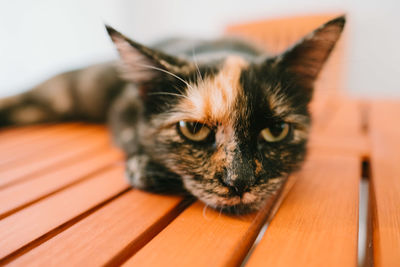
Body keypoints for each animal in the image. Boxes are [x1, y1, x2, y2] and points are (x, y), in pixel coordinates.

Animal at [0, 16, 344, 214]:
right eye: (192, 128)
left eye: (276, 130)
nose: (239, 181)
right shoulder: (123, 108)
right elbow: (132, 135)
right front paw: (147, 167)